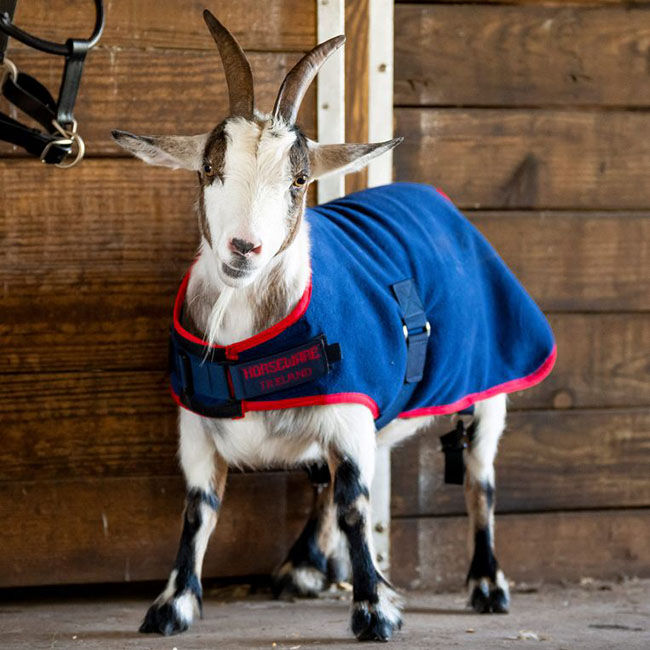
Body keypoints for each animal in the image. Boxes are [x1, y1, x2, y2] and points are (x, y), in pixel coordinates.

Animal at [112, 10, 556, 642]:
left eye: (298, 181)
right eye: (208, 168)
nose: (243, 248)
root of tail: (435, 199)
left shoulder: (351, 409)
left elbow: (354, 505)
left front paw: (375, 610)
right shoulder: (198, 425)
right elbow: (198, 510)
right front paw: (173, 605)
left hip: (490, 378)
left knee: (479, 478)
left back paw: (488, 584)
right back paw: (301, 566)